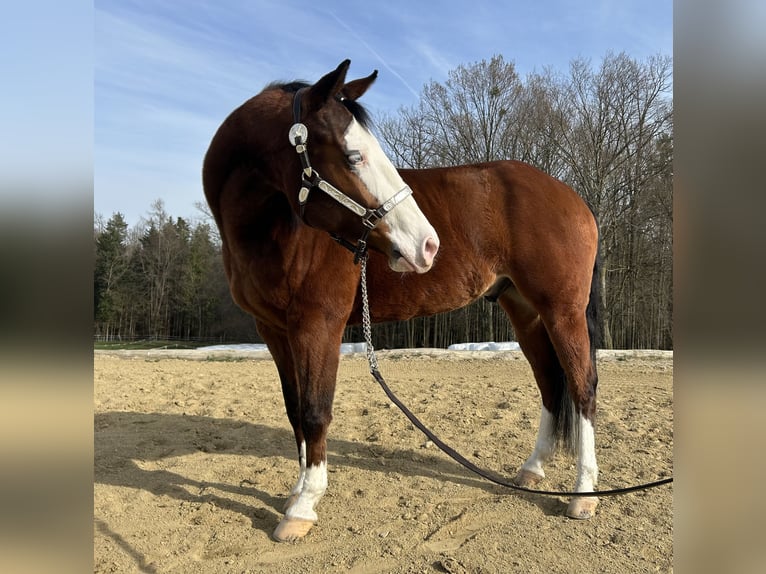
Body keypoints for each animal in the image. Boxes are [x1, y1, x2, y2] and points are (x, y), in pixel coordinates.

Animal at [203, 60, 601, 542]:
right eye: (354, 157)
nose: (428, 245)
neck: (275, 231)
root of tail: (572, 197)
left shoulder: (319, 326)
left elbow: (316, 411)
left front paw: (303, 506)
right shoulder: (275, 330)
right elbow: (295, 410)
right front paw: (296, 492)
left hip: (562, 311)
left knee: (581, 387)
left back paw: (583, 494)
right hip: (525, 313)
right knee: (548, 384)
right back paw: (532, 470)